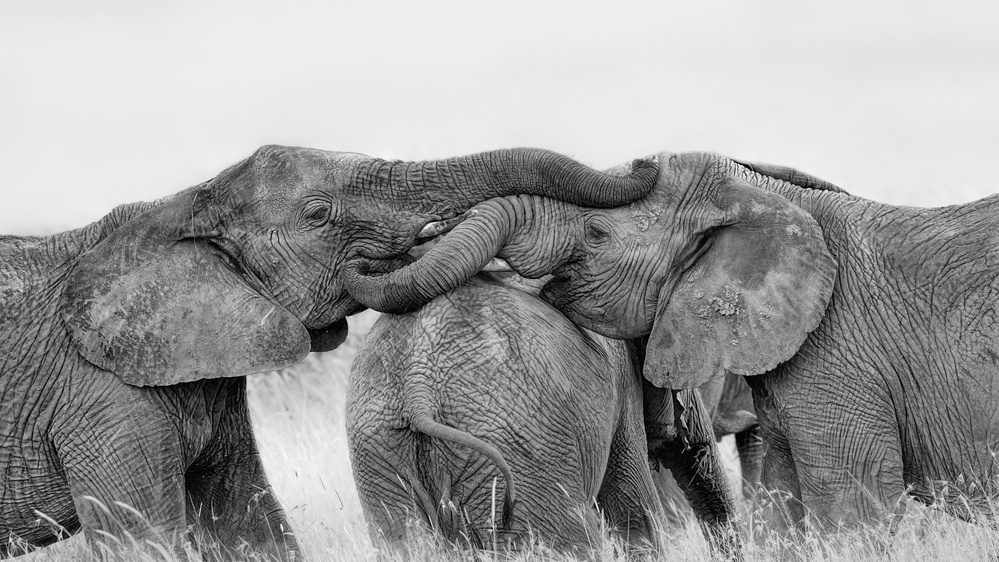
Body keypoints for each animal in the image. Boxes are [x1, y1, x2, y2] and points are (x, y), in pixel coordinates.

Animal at [0, 143, 660, 556]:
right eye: (317, 214)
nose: (647, 161)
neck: (179, 207)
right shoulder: (99, 398)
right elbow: (142, 540)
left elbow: (250, 525)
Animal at [340, 150, 999, 532]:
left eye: (597, 233)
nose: (368, 254)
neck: (768, 199)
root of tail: (419, 384)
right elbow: (785, 501)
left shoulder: (840, 354)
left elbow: (852, 511)